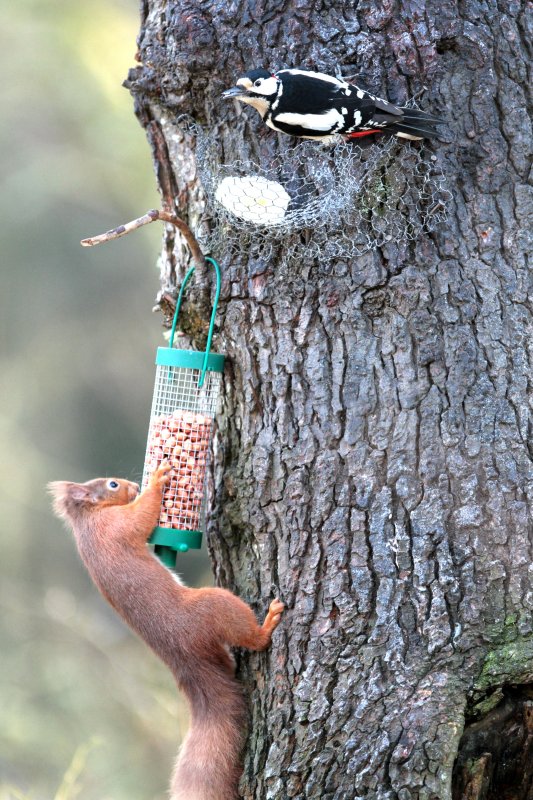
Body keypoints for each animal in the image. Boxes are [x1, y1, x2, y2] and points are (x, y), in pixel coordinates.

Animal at [48, 461, 284, 800]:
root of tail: (181, 656)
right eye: (112, 485)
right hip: (212, 606)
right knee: (248, 635)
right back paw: (267, 625)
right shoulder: (116, 527)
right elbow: (141, 518)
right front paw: (159, 480)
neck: (89, 519)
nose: (135, 485)